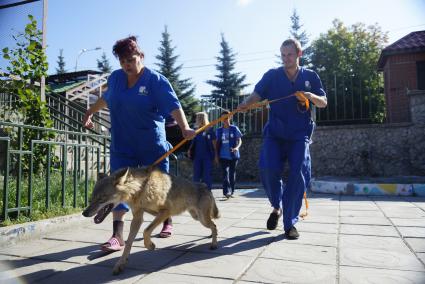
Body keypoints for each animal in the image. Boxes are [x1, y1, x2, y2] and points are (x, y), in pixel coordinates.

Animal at [81, 166, 219, 276]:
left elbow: (146, 231)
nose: (84, 213)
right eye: (92, 198)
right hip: (197, 217)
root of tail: (205, 186)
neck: (141, 188)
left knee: (214, 225)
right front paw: (120, 264)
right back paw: (211, 237)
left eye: (101, 198)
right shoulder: (138, 218)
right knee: (213, 225)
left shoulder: (164, 212)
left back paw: (214, 244)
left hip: (202, 219)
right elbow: (129, 243)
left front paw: (150, 245)